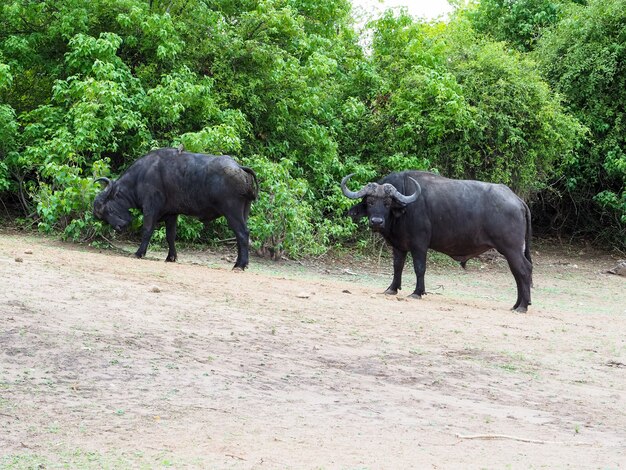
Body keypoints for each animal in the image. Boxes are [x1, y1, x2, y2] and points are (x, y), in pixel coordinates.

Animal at [92, 149, 256, 270]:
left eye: (108, 210)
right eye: (102, 217)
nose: (119, 228)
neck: (140, 176)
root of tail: (239, 168)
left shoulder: (150, 209)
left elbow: (147, 231)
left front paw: (139, 253)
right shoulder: (172, 214)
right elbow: (170, 236)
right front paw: (171, 257)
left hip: (232, 212)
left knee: (242, 234)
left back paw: (240, 265)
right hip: (244, 211)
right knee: (243, 236)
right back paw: (240, 263)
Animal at [342, 170, 532, 312]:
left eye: (388, 203)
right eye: (370, 201)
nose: (376, 222)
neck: (405, 209)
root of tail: (518, 201)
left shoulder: (419, 245)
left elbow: (419, 268)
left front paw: (417, 292)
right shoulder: (399, 246)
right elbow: (397, 267)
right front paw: (392, 289)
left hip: (511, 249)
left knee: (523, 270)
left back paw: (522, 306)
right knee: (518, 273)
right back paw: (516, 304)